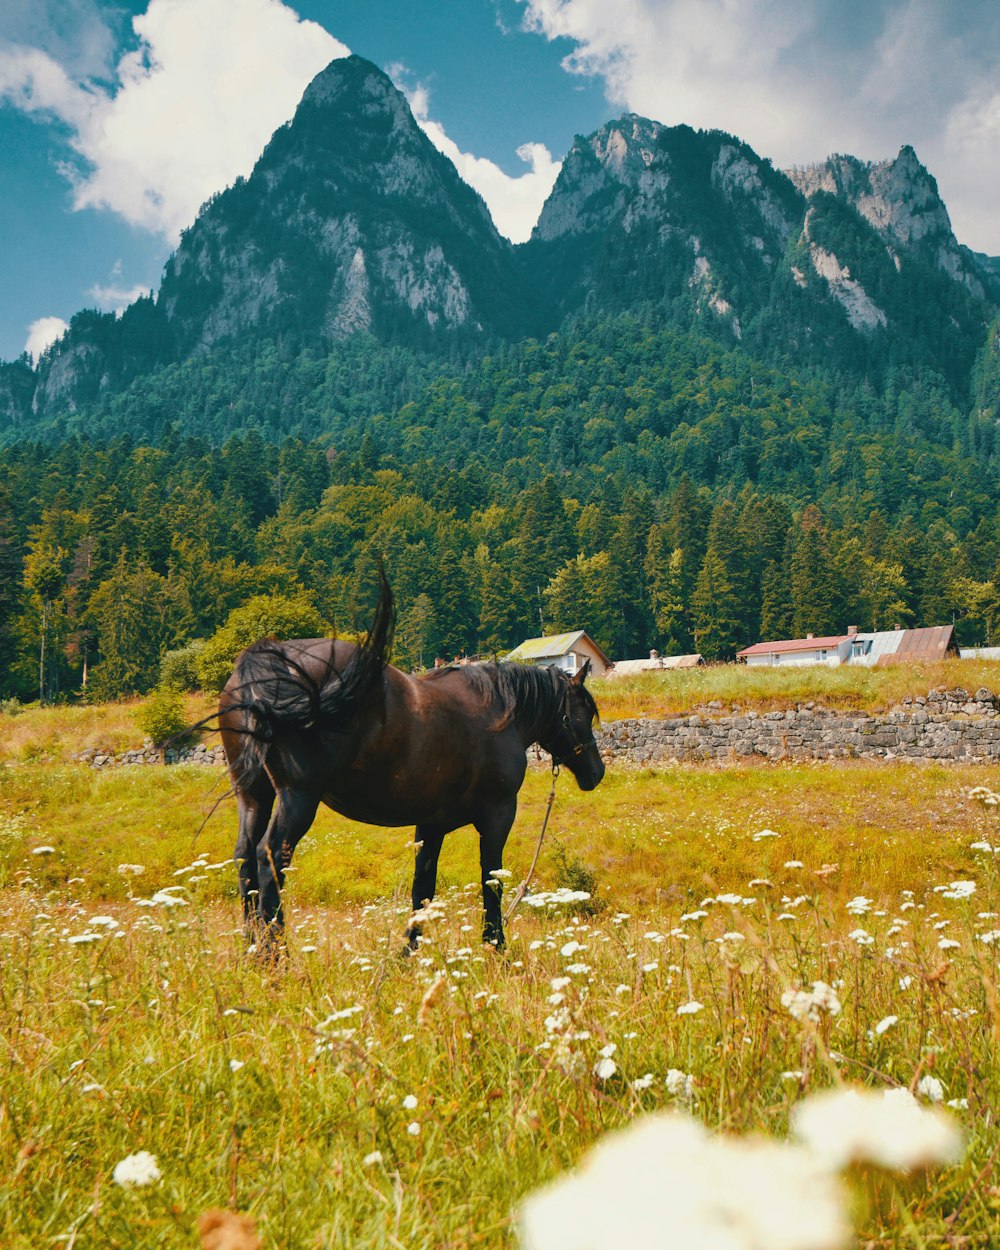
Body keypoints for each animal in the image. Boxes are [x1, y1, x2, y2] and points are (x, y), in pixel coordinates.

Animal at [218, 572, 605, 945]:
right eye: (585, 712)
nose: (597, 772)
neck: (501, 710)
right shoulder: (497, 817)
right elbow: (491, 882)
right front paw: (496, 946)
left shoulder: (430, 826)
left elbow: (423, 890)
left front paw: (409, 952)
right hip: (298, 798)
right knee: (270, 858)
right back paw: (275, 953)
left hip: (254, 796)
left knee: (245, 858)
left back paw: (251, 948)